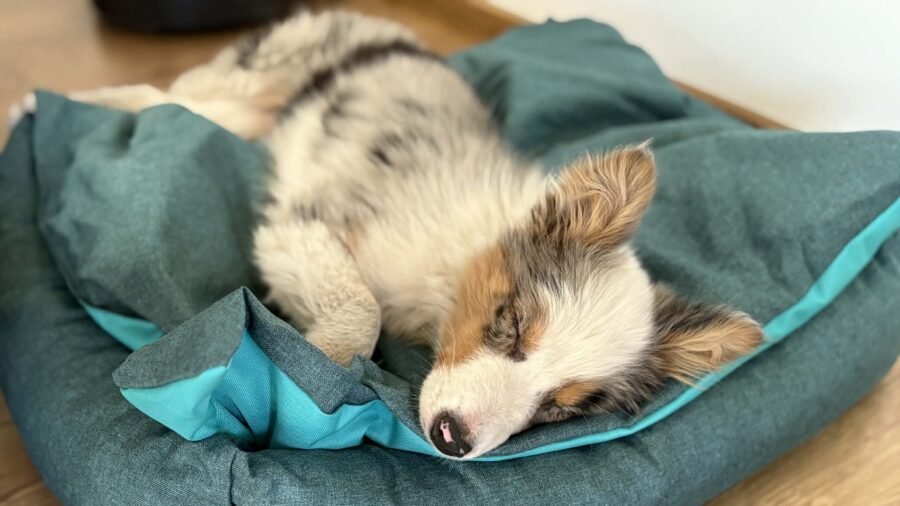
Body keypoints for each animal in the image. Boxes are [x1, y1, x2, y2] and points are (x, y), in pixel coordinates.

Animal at [11, 10, 762, 459]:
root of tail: (377, 22)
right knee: (161, 95)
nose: (452, 439)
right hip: (257, 77)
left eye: (562, 409)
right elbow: (361, 308)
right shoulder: (308, 223)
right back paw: (38, 104)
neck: (447, 280)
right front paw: (303, 367)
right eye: (513, 323)